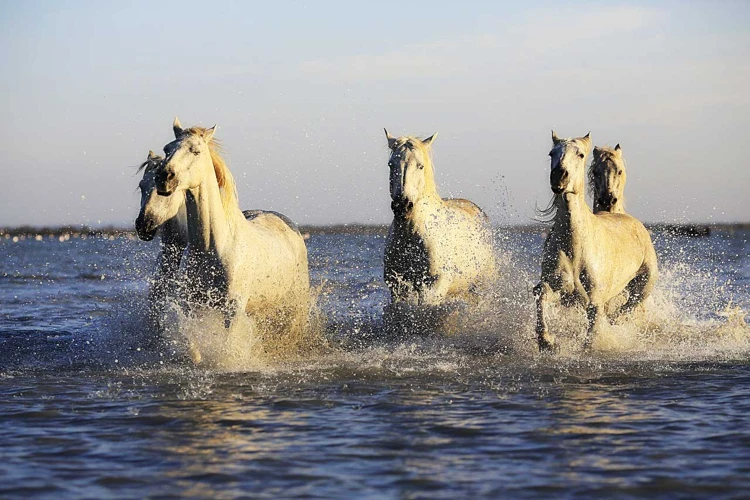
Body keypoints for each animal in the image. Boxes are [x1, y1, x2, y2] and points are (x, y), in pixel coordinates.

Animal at [156, 119, 312, 334]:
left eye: (195, 150)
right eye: (166, 149)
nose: (164, 178)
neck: (212, 246)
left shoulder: (233, 310)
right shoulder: (193, 306)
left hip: (296, 305)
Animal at [384, 129, 496, 308]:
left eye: (420, 166)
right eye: (391, 164)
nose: (402, 205)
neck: (411, 235)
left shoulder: (433, 286)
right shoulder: (398, 287)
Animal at [536, 132, 656, 352]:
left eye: (580, 154)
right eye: (551, 153)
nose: (559, 176)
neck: (575, 246)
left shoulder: (594, 302)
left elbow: (592, 334)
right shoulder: (558, 288)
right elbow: (541, 295)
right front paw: (547, 341)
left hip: (643, 286)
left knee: (628, 308)